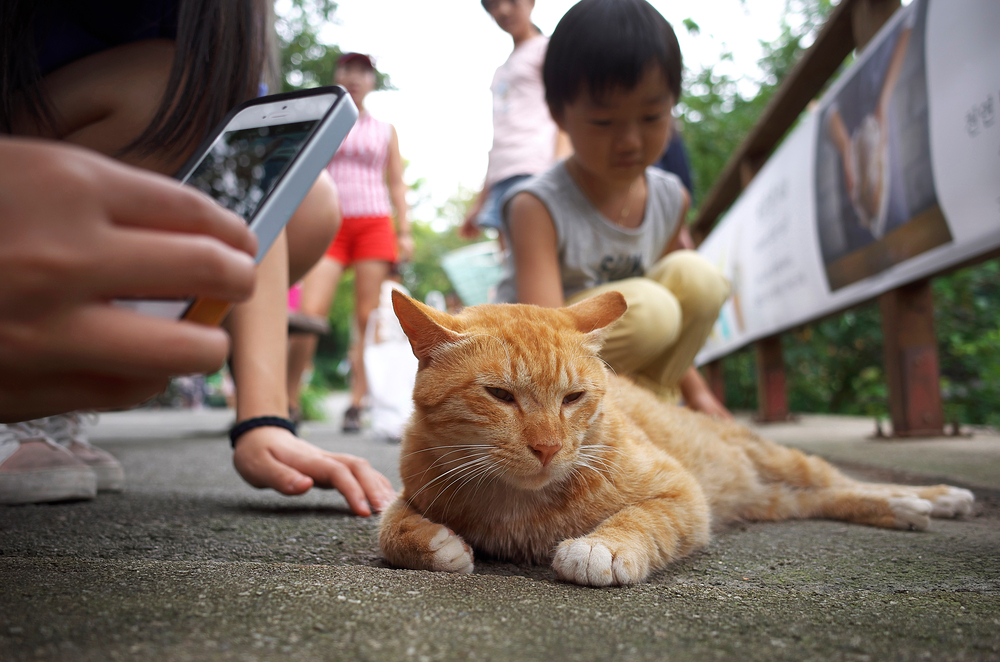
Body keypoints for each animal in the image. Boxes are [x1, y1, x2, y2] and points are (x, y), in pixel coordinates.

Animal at [378, 290, 972, 588]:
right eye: (500, 395)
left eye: (573, 398)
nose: (547, 448)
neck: (516, 506)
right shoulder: (409, 489)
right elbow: (390, 527)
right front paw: (436, 544)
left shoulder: (682, 493)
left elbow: (643, 518)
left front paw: (603, 546)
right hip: (774, 500)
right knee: (828, 497)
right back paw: (902, 507)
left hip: (775, 461)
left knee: (845, 479)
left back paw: (931, 497)